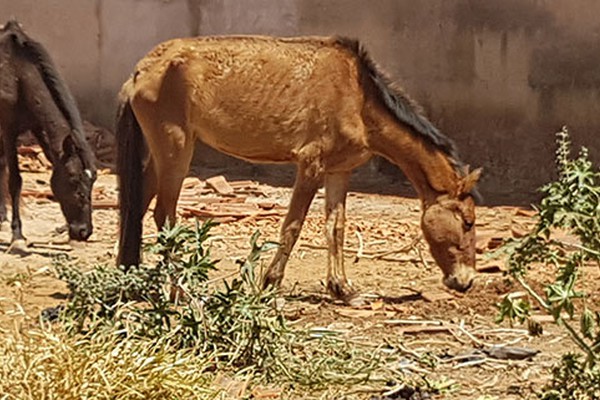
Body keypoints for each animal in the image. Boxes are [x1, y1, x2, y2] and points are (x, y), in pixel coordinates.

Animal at [0, 21, 95, 248]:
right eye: (73, 181)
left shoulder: (36, 126)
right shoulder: (9, 130)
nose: (84, 232)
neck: (19, 75)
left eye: (93, 182)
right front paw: (17, 235)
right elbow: (15, 180)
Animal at [117, 35, 482, 304]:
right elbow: (293, 227)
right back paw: (181, 292)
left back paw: (129, 278)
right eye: (467, 222)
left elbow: (336, 228)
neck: (358, 98)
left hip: (161, 154)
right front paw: (270, 286)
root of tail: (140, 72)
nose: (465, 282)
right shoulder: (311, 166)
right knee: (164, 216)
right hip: (175, 149)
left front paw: (344, 290)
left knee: (138, 207)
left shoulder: (339, 171)